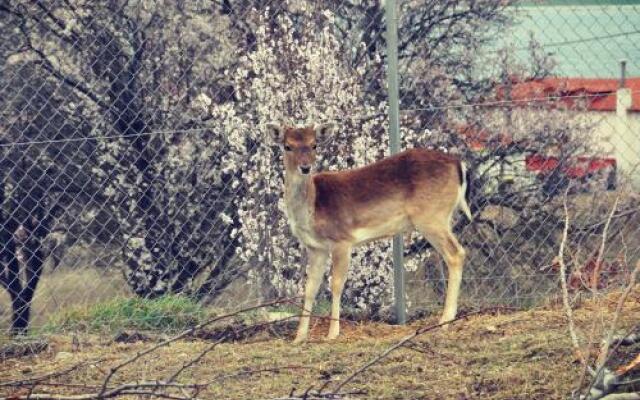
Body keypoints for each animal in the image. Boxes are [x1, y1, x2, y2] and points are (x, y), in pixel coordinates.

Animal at [268, 122, 472, 344]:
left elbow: (336, 284)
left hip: (431, 216)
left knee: (456, 253)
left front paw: (333, 333)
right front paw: (299, 337)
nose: (305, 167)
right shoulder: (316, 248)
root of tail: (459, 164)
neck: (312, 209)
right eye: (287, 146)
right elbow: (309, 289)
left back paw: (445, 320)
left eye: (314, 145)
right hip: (443, 217)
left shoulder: (342, 239)